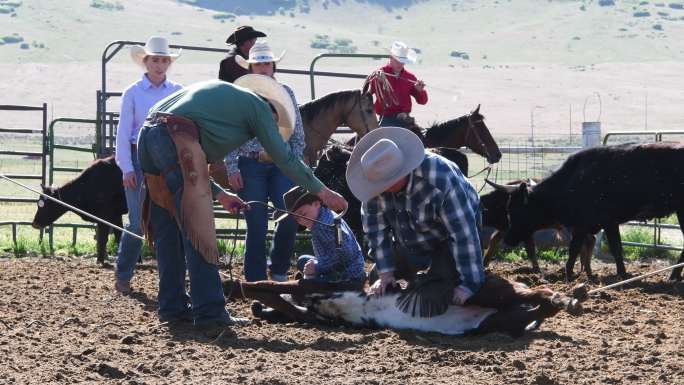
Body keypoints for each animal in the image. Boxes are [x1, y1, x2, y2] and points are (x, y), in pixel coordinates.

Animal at [492, 142, 684, 280]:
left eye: (516, 210)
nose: (507, 239)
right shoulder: (586, 225)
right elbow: (578, 248)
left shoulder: (603, 222)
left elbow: (609, 248)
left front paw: (621, 274)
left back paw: (672, 276)